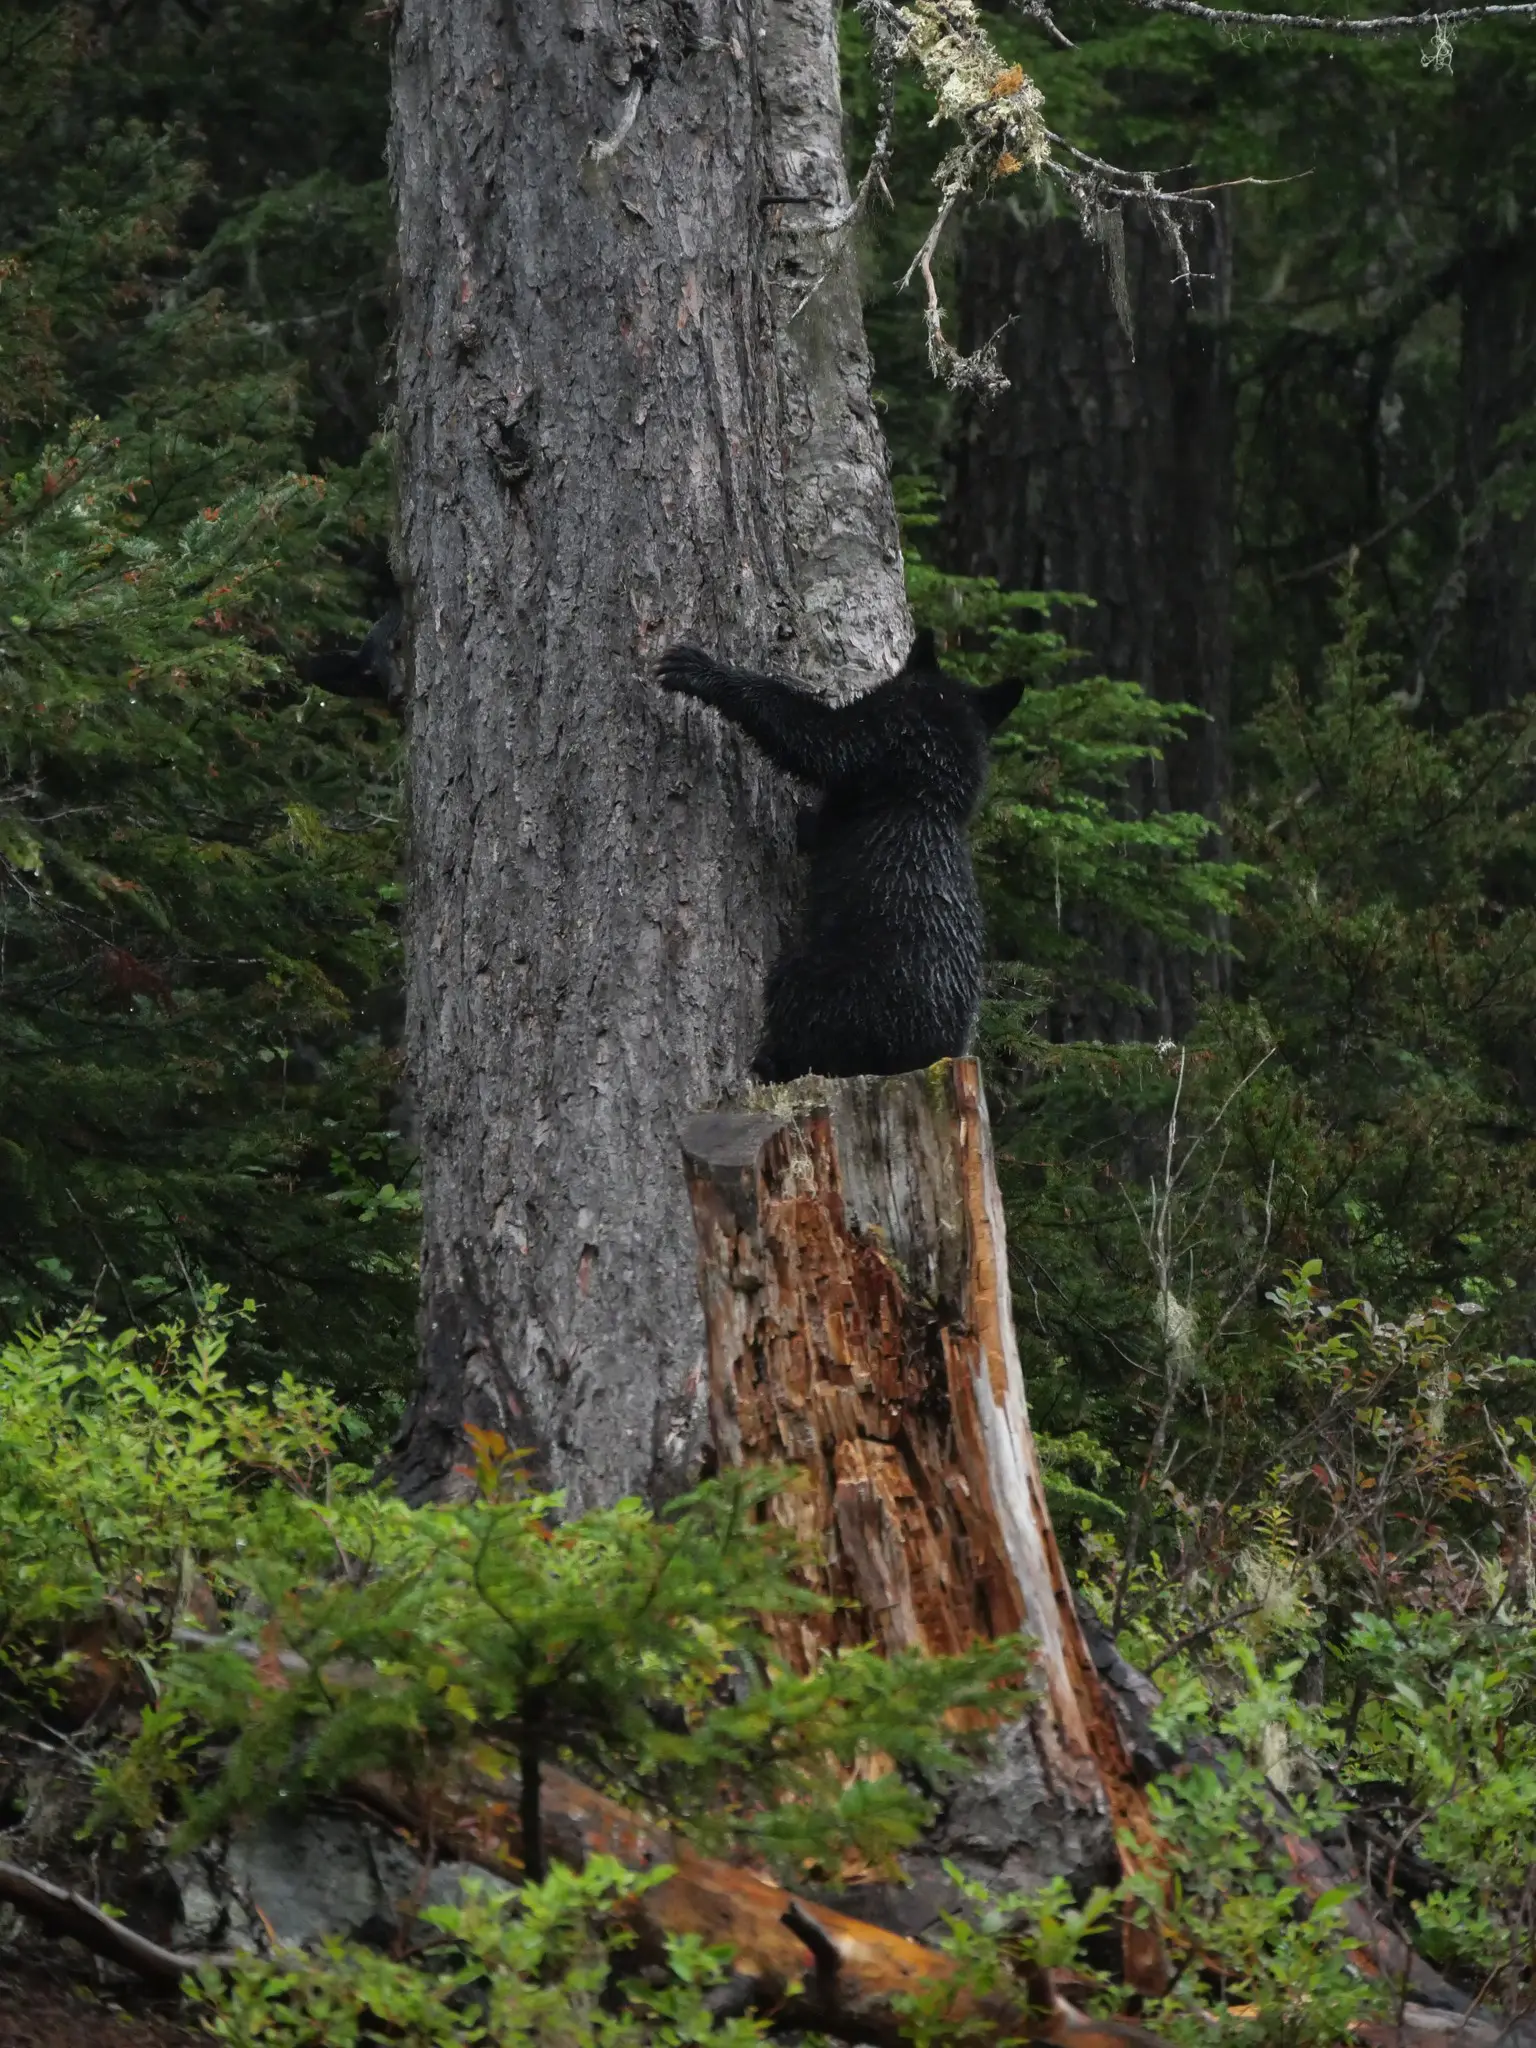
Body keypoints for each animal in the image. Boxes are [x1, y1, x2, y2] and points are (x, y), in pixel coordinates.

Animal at [656, 630, 1023, 1082]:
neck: (926, 799)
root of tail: (910, 1058)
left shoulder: (879, 741)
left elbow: (818, 740)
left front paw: (697, 668)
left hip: (834, 981)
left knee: (800, 1010)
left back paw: (771, 1059)